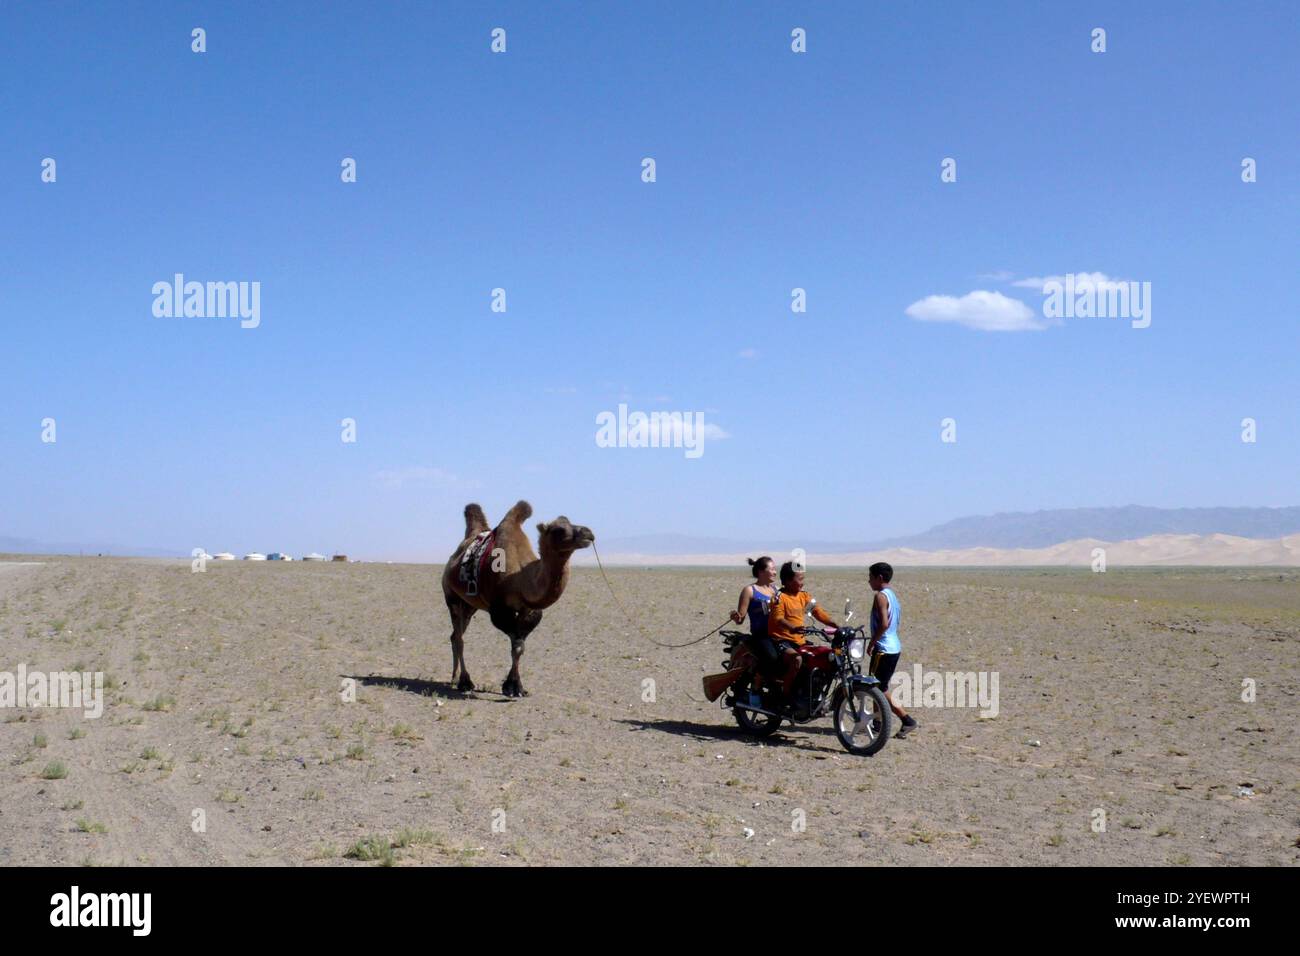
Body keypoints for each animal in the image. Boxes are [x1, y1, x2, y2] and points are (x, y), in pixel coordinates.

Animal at [441, 502, 595, 697]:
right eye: (558, 529)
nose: (588, 533)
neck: (520, 578)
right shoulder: (499, 610)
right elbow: (516, 644)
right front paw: (512, 687)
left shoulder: (529, 610)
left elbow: (519, 647)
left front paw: (517, 687)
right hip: (451, 597)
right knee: (460, 638)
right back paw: (465, 682)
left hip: (469, 605)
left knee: (455, 636)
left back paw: (454, 678)